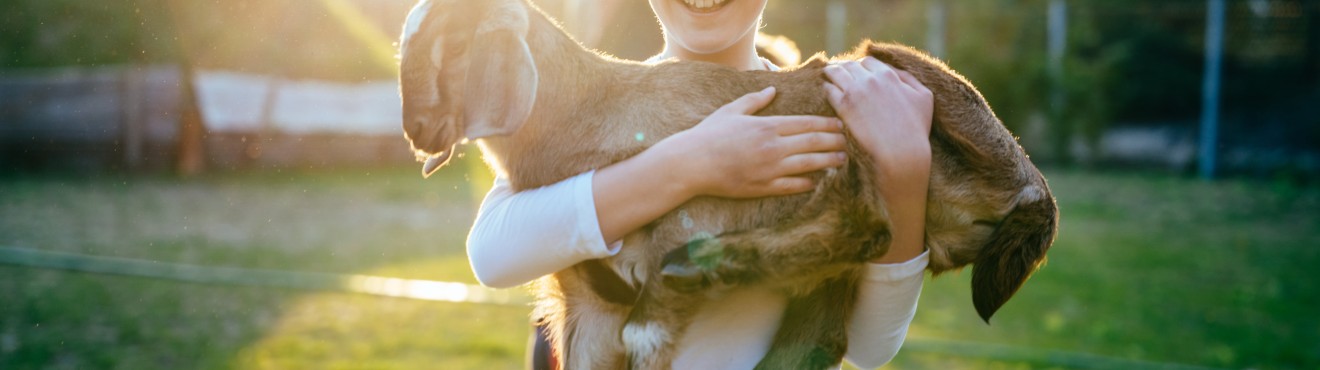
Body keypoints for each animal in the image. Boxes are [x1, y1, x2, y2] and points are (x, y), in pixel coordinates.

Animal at [396, 0, 1056, 370]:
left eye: (453, 43)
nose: (416, 132)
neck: (594, 111)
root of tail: (1032, 187)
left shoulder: (698, 209)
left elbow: (647, 331)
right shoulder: (584, 307)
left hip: (883, 84)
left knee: (864, 221)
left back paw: (703, 265)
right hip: (835, 277)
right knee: (832, 304)